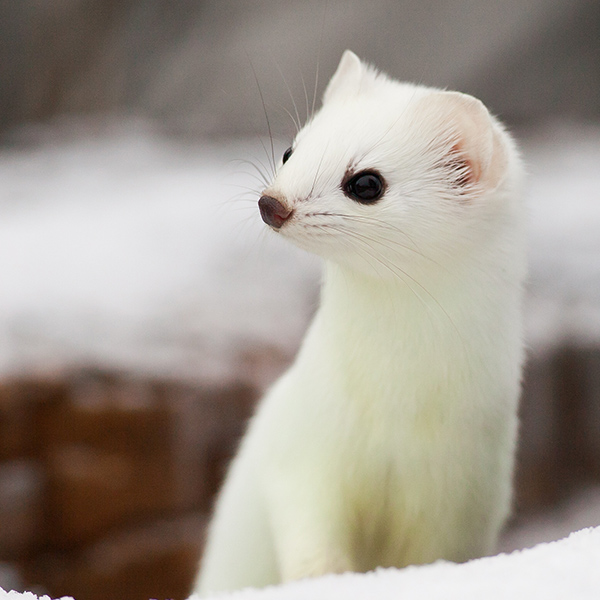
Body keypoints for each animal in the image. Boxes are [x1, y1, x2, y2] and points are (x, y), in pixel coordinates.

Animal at [193, 49, 524, 592]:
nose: (271, 203)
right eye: (291, 150)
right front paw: (320, 580)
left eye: (366, 183)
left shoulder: (463, 491)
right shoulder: (303, 450)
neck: (393, 406)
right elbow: (308, 532)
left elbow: (435, 552)